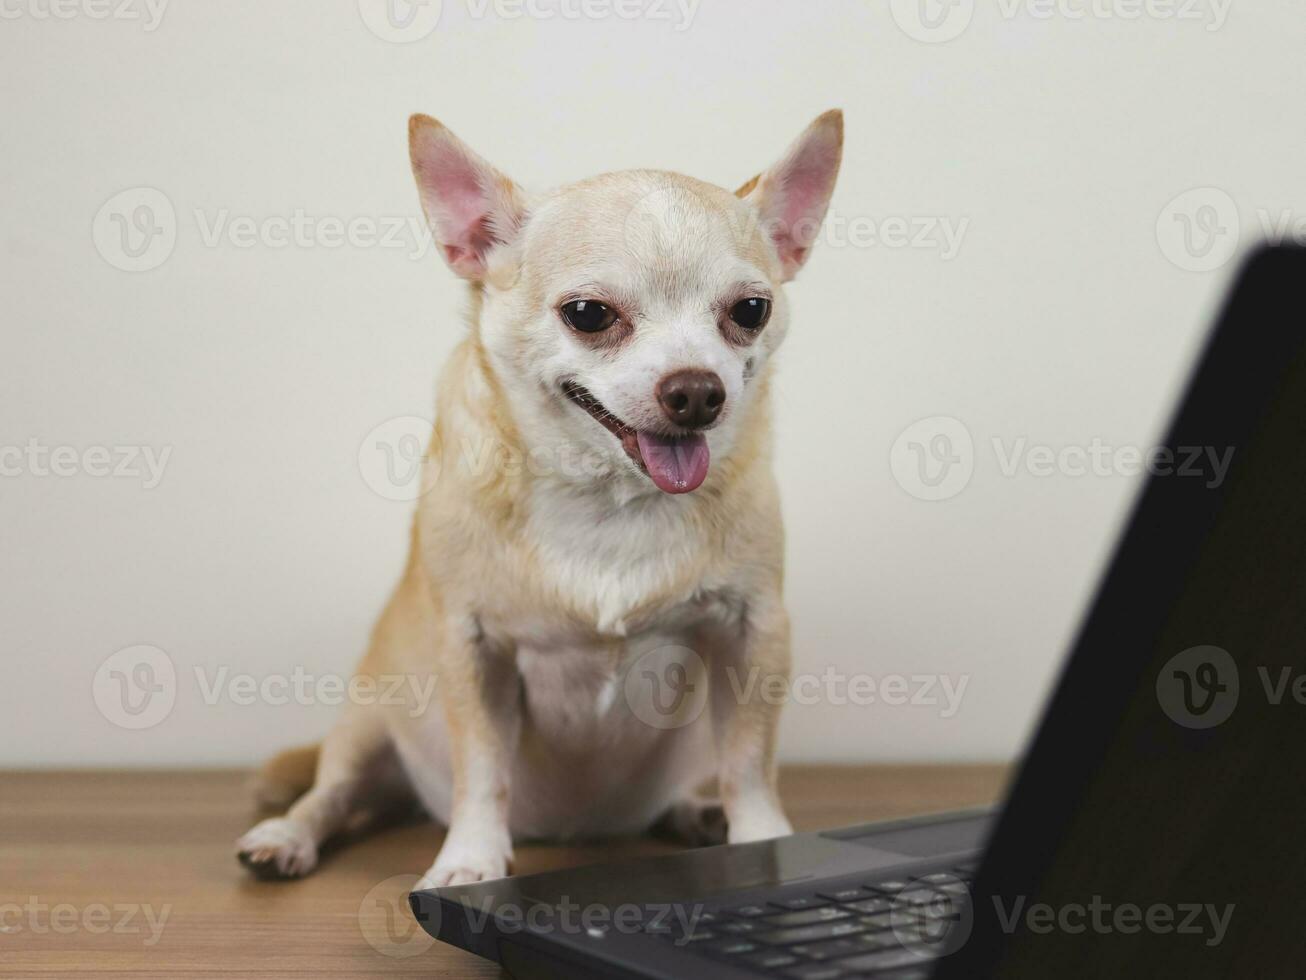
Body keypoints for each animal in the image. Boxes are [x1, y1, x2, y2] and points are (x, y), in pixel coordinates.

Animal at [235, 111, 841, 888]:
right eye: (588, 314)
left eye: (751, 310)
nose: (698, 390)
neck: (610, 496)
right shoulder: (473, 651)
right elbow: (482, 771)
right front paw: (470, 861)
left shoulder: (753, 632)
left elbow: (749, 764)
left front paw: (762, 843)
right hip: (368, 723)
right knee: (333, 792)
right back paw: (286, 835)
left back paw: (696, 813)